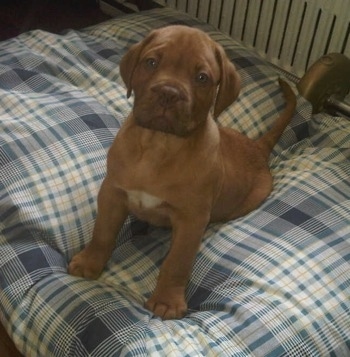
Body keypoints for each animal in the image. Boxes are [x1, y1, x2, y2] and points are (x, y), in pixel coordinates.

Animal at [69, 26, 298, 318]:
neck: (159, 145)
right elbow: (102, 232)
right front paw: (89, 262)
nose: (168, 92)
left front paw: (167, 301)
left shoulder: (191, 220)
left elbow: (177, 262)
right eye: (151, 62)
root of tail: (258, 147)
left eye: (202, 78)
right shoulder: (112, 192)